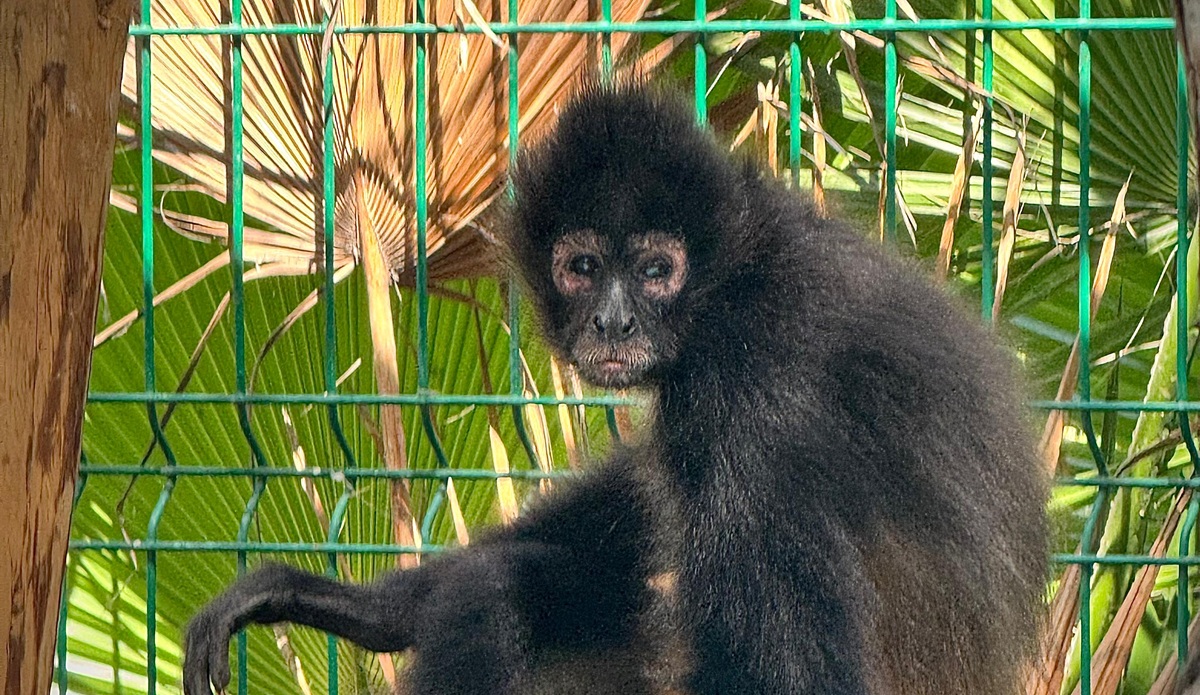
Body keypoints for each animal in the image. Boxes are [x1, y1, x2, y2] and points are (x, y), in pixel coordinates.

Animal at [182, 80, 1049, 695]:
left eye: (657, 270)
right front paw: (369, 605)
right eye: (583, 266)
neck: (740, 274)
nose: (613, 322)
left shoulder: (758, 389)